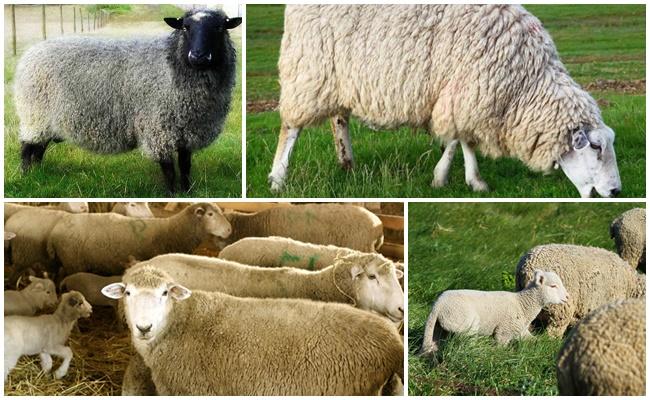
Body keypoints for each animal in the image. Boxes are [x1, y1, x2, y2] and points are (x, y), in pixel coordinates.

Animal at [15, 9, 242, 194]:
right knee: (27, 148)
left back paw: (39, 173)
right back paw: (26, 177)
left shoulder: (186, 132)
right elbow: (169, 170)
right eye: (186, 27)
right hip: (34, 114)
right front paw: (172, 193)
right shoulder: (158, 130)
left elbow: (185, 166)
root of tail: (30, 53)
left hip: (45, 121)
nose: (199, 56)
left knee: (39, 148)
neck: (172, 68)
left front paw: (187, 192)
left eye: (219, 27)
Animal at [269, 5, 621, 198]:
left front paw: (471, 180)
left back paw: (347, 163)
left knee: (338, 118)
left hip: (338, 77)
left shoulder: (465, 95)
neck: (525, 81)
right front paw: (446, 179)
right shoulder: (462, 92)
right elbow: (455, 139)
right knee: (291, 127)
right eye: (595, 146)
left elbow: (463, 140)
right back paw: (277, 179)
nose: (616, 191)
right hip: (309, 70)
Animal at [419, 270, 568, 358]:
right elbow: (500, 347)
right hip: (463, 322)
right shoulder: (504, 331)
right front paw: (499, 356)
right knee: (465, 344)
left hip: (439, 328)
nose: (567, 297)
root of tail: (438, 305)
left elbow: (534, 340)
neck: (522, 304)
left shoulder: (520, 330)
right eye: (553, 286)